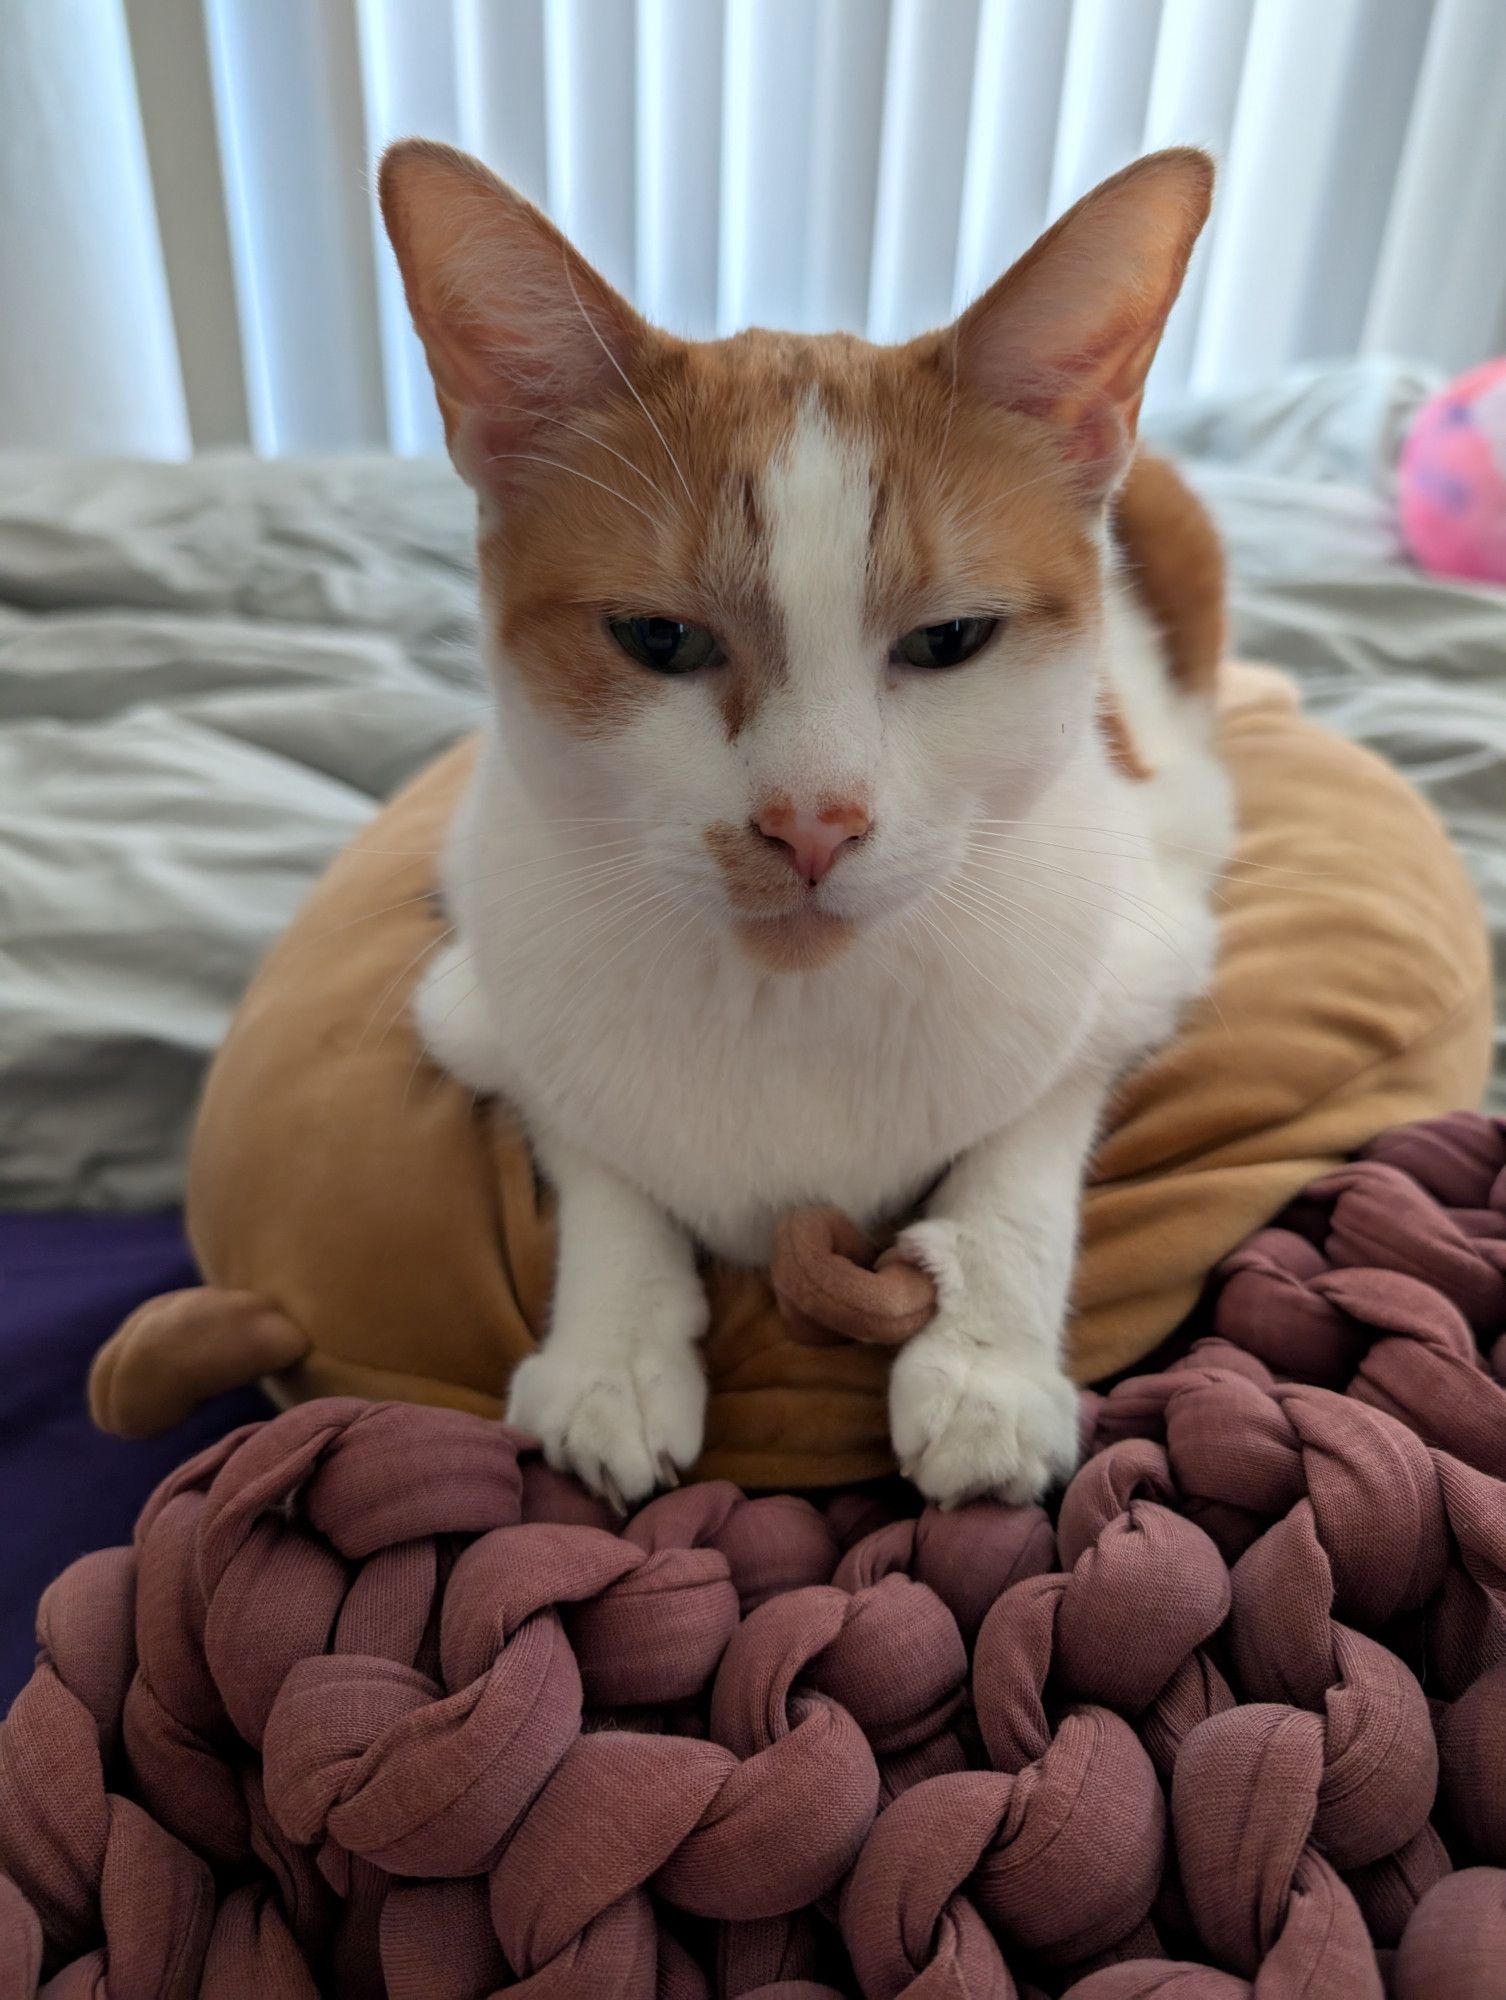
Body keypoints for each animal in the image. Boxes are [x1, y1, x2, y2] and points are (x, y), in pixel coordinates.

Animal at [378, 141, 1232, 1504]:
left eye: (950, 638)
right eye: (658, 637)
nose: (812, 824)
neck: (789, 1003)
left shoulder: (1144, 954)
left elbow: (1031, 1141)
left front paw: (985, 1364)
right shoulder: (480, 998)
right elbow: (593, 1148)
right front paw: (615, 1344)